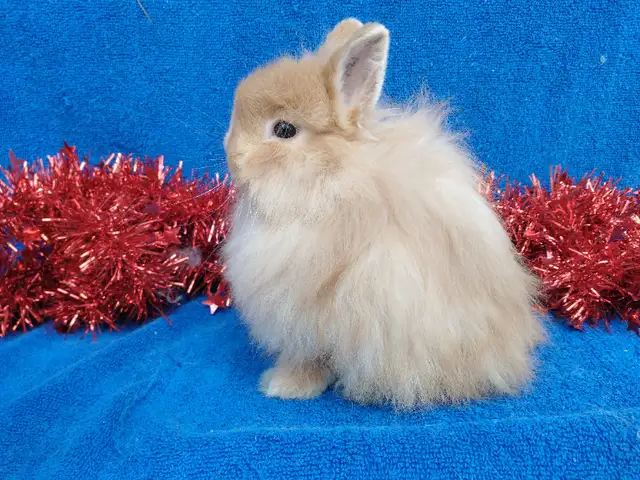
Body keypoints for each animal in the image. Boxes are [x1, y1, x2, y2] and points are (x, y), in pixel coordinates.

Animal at [221, 18, 545, 409]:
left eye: (284, 129)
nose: (231, 154)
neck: (329, 178)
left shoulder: (307, 311)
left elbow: (310, 356)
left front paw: (284, 385)